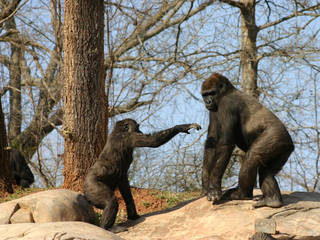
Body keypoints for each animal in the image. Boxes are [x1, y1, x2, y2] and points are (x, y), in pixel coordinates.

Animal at [201, 72, 294, 208]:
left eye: (212, 93)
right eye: (205, 94)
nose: (208, 101)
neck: (226, 91)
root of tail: (290, 143)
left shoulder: (227, 105)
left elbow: (225, 145)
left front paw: (213, 188)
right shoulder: (213, 110)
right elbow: (211, 142)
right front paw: (206, 184)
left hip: (277, 138)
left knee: (252, 157)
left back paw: (243, 194)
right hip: (284, 150)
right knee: (266, 171)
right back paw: (272, 200)